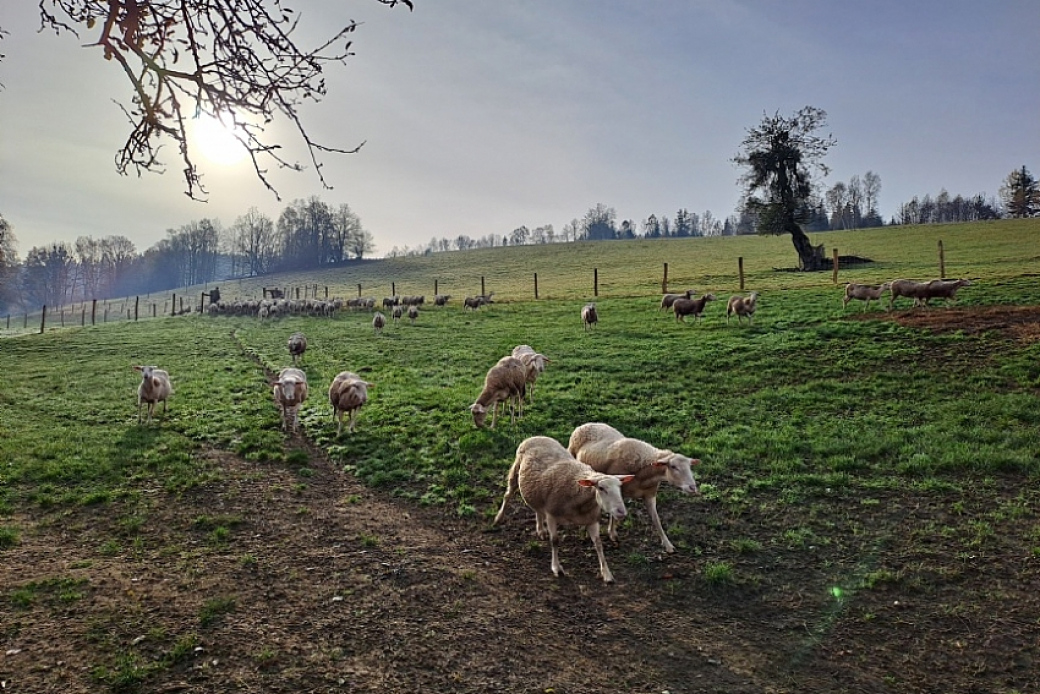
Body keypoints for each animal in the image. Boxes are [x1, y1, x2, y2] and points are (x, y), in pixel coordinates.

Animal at [492, 437, 632, 582]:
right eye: (601, 488)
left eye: (620, 487)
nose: (621, 512)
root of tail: (537, 436)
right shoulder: (551, 514)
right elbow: (555, 541)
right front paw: (556, 568)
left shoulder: (592, 520)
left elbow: (598, 544)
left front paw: (606, 573)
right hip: (515, 471)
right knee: (507, 495)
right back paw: (498, 518)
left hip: (536, 490)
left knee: (537, 508)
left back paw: (540, 529)